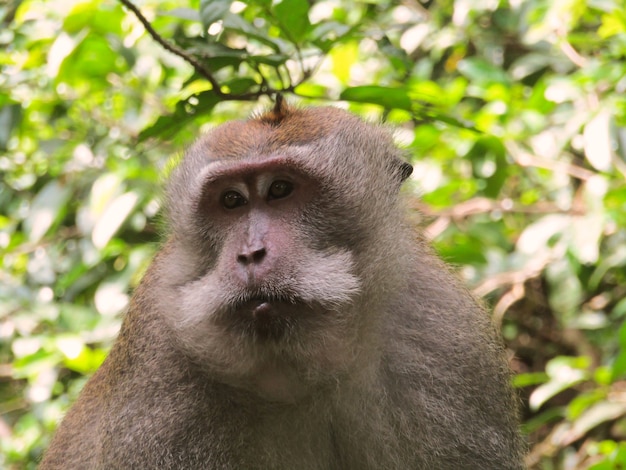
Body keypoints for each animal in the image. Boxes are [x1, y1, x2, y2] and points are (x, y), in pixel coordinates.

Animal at [39, 100, 524, 470]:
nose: (250, 254)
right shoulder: (157, 382)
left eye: (280, 189)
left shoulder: (445, 341)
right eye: (231, 200)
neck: (300, 368)